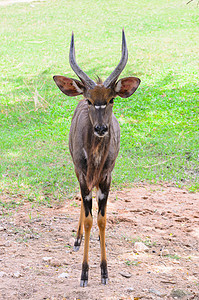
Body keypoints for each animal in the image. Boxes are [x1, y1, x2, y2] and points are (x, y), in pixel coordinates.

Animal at [52, 29, 140, 288]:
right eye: (90, 100)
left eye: (111, 99)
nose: (101, 128)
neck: (95, 158)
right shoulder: (82, 174)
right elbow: (90, 219)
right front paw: (84, 273)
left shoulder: (107, 176)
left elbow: (102, 220)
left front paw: (104, 272)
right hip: (77, 170)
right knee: (83, 205)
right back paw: (77, 239)